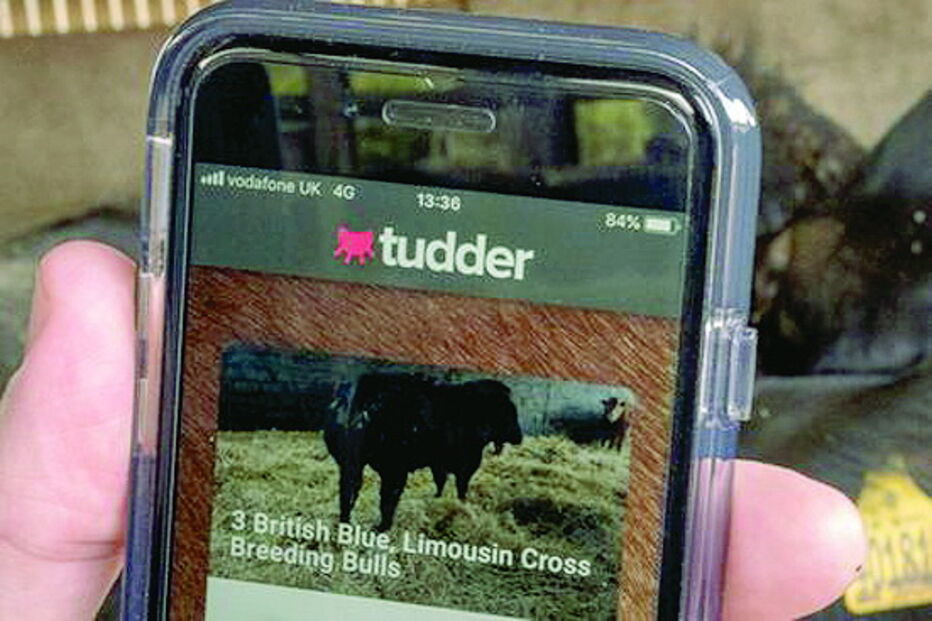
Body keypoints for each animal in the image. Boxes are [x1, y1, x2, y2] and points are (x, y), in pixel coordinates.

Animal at [323, 373, 522, 531]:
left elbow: (441, 482)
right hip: (392, 470)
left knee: (348, 493)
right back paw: (383, 526)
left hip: (352, 466)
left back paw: (346, 523)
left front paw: (438, 499)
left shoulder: (439, 464)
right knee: (386, 498)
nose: (518, 436)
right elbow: (460, 486)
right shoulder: (466, 463)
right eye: (509, 411)